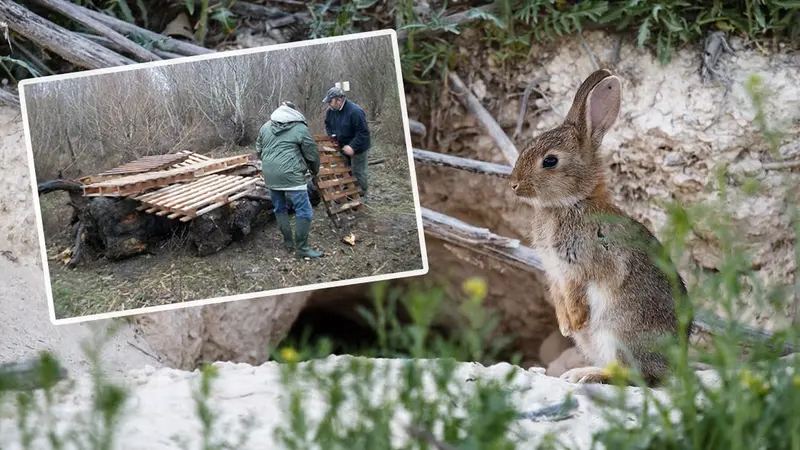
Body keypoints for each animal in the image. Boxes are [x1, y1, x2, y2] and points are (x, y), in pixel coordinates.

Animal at [508, 68, 690, 386]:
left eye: (550, 161)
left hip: (616, 333)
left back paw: (585, 375)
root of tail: (670, 367)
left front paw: (575, 320)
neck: (573, 202)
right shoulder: (555, 271)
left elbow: (578, 293)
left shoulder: (584, 265)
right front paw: (565, 326)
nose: (514, 184)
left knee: (632, 374)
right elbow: (559, 295)